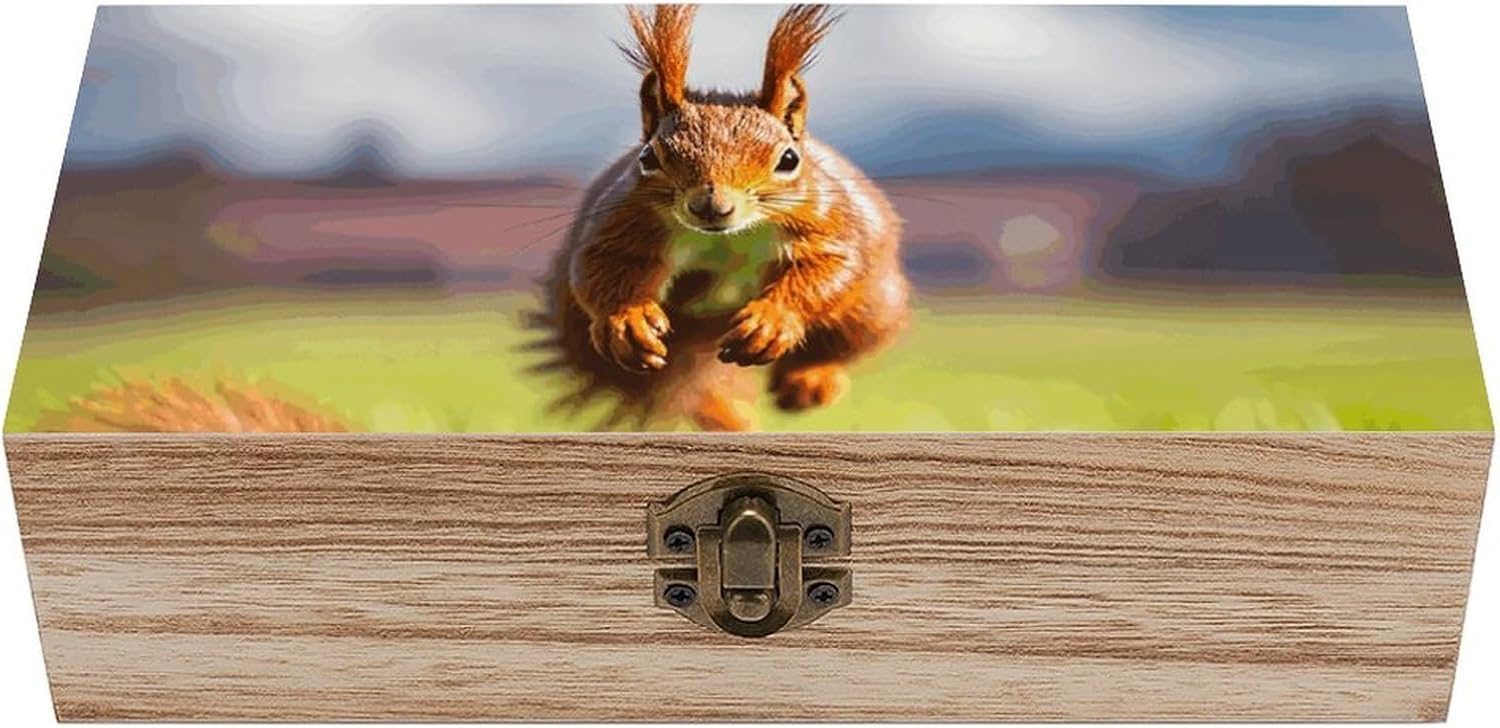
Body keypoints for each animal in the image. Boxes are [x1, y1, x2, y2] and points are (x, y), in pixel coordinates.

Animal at [530, 4, 909, 431]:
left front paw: (771, 321)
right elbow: (604, 263)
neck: (728, 238)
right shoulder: (625, 220)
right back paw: (724, 414)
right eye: (647, 157)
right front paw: (627, 320)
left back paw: (808, 380)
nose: (711, 205)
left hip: (872, 309)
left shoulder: (824, 221)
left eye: (789, 159)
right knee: (673, 386)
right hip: (596, 336)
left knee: (838, 346)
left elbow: (829, 266)